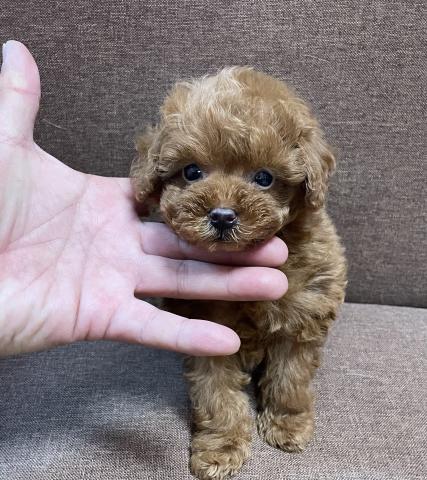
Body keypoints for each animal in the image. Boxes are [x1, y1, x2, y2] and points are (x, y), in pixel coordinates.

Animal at [131, 67, 347, 480]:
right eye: (192, 171)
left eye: (264, 178)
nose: (222, 215)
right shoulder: (207, 333)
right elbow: (216, 395)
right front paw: (221, 448)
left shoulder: (303, 315)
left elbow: (289, 379)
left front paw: (287, 424)